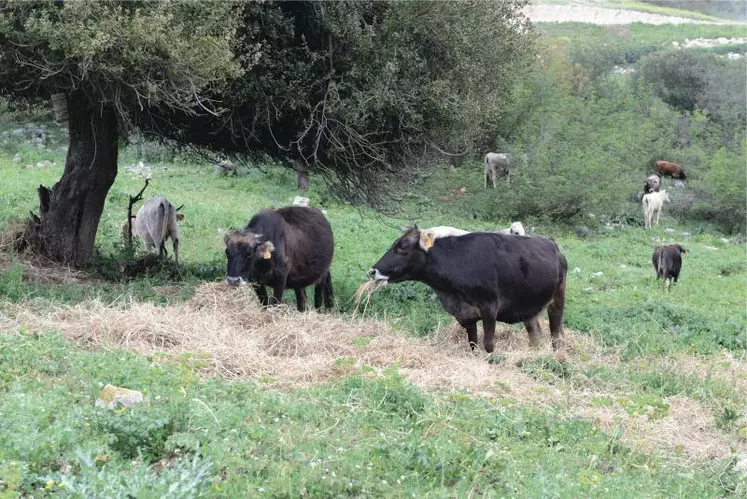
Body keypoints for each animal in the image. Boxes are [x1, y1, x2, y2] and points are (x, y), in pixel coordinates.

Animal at [368, 229, 568, 352]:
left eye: (402, 247)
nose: (373, 271)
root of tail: (553, 245)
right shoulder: (466, 315)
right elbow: (473, 344)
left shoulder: (490, 307)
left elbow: (488, 344)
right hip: (528, 306)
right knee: (536, 335)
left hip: (557, 299)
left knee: (555, 335)